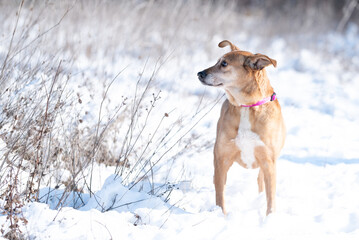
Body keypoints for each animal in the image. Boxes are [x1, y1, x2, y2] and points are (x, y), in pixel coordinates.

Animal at [197, 39, 286, 216]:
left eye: (224, 63)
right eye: (217, 61)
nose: (199, 73)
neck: (247, 106)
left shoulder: (268, 162)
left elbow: (270, 198)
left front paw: (270, 218)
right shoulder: (222, 159)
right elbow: (220, 194)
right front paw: (220, 215)